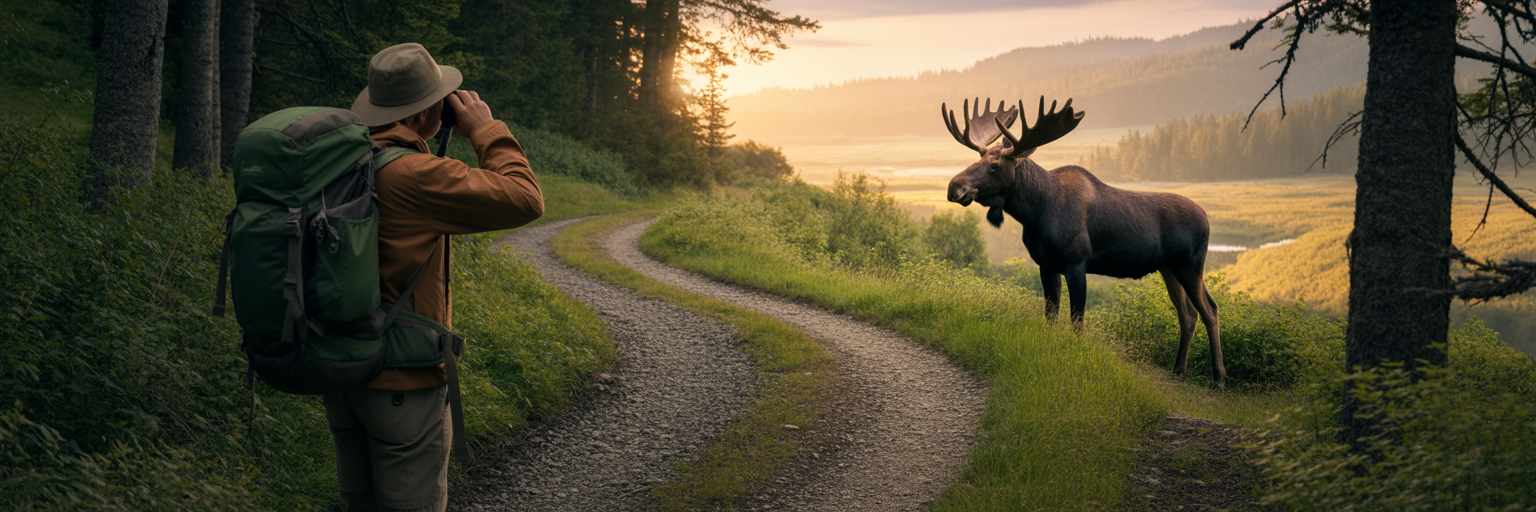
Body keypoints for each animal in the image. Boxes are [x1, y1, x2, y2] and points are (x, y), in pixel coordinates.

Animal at [942, 97, 1227, 388]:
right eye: (978, 159)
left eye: (995, 166)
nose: (954, 187)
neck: (1035, 213)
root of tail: (1207, 219)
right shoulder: (1046, 265)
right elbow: (1051, 315)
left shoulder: (1077, 262)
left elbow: (1077, 320)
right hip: (1169, 268)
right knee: (1188, 314)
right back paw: (1179, 370)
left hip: (1190, 265)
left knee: (1210, 310)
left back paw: (1219, 378)